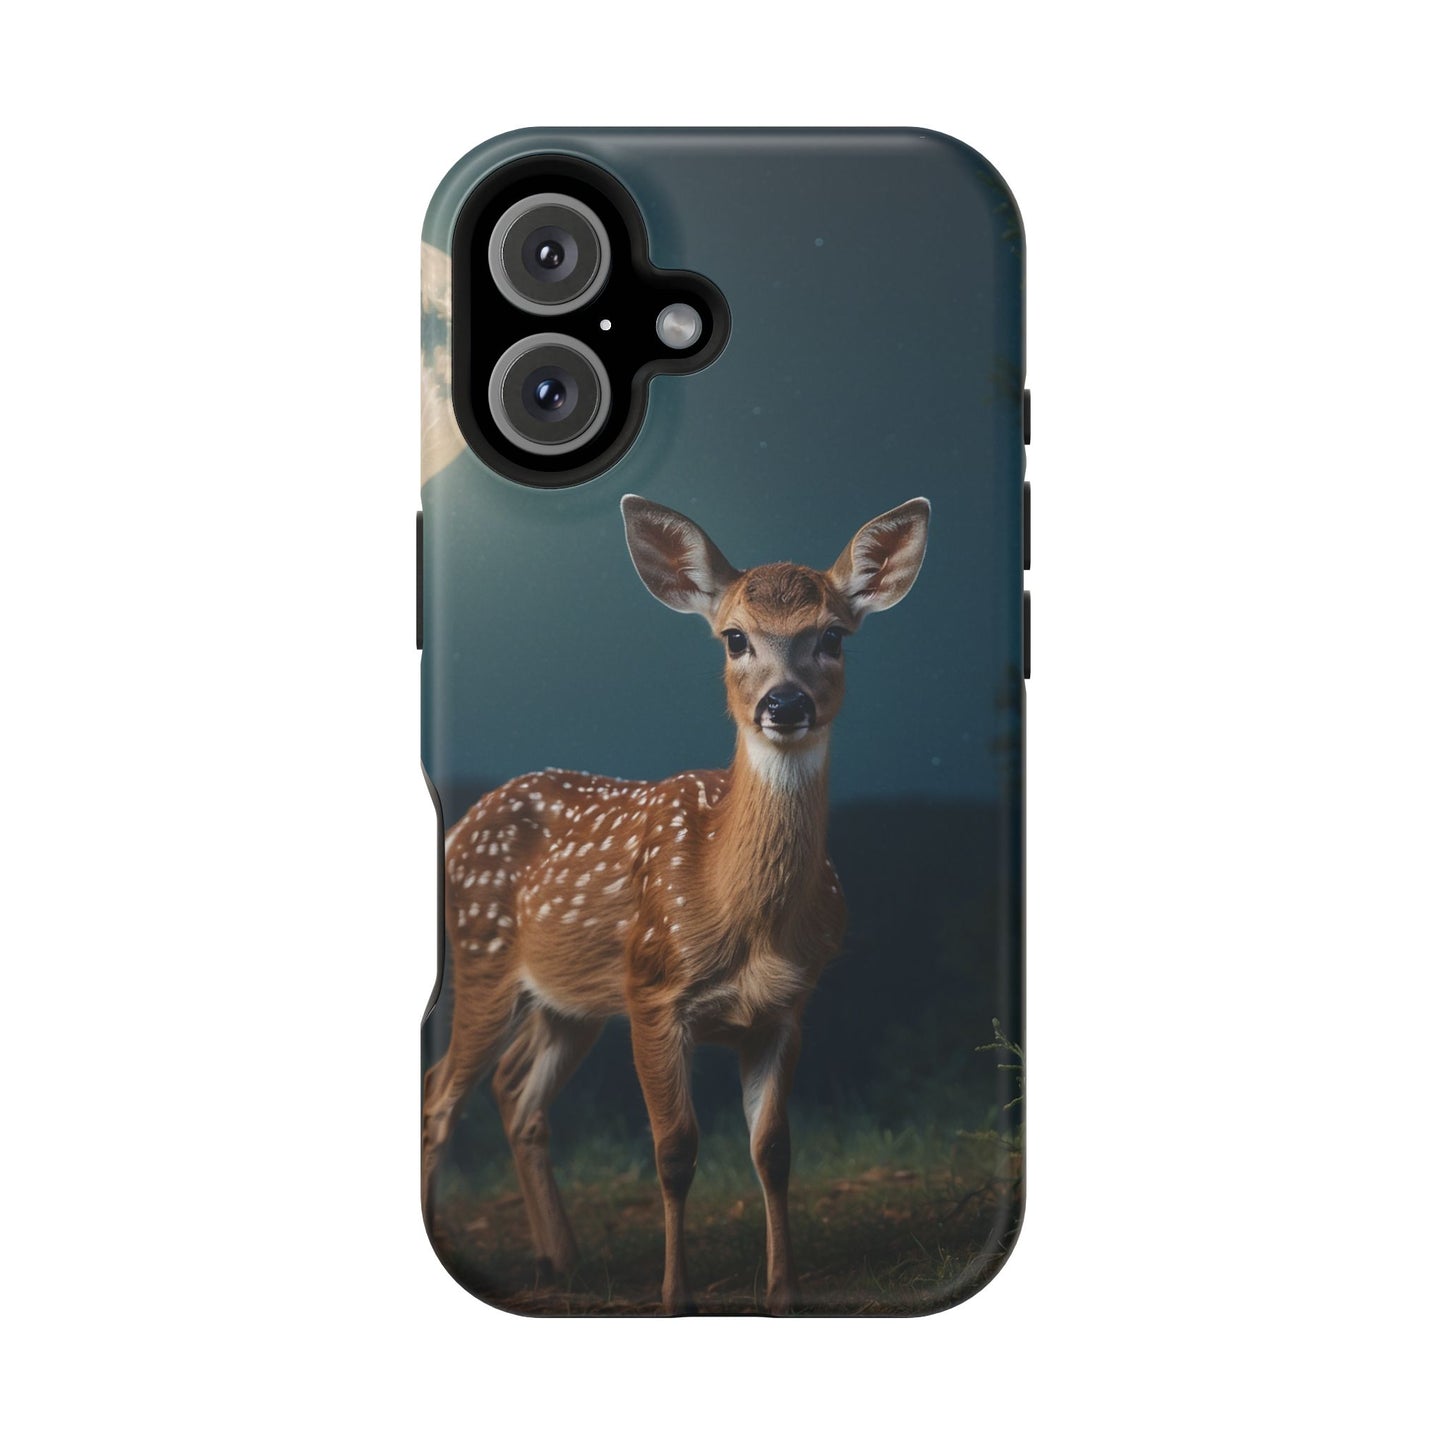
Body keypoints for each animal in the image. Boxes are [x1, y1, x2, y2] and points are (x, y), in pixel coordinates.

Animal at [423, 492, 930, 1314]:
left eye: (832, 636)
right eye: (734, 637)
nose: (784, 703)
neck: (742, 915)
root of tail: (462, 826)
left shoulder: (785, 1008)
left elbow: (773, 1150)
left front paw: (783, 1291)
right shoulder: (654, 992)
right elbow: (673, 1149)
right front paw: (676, 1294)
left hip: (571, 1000)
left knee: (515, 1092)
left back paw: (560, 1259)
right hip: (483, 959)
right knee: (441, 1096)